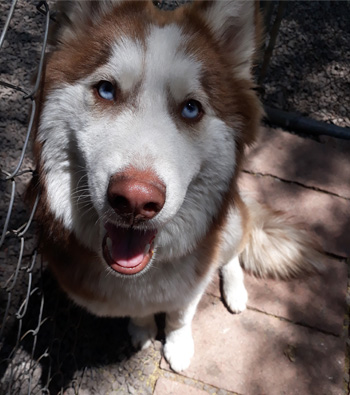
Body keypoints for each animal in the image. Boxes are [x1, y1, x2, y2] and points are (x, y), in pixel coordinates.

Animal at [28, 0, 324, 372]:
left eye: (191, 108)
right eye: (106, 90)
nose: (135, 200)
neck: (140, 275)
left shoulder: (194, 280)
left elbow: (180, 314)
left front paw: (178, 345)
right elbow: (139, 314)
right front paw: (141, 330)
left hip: (230, 224)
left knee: (233, 252)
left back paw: (236, 292)